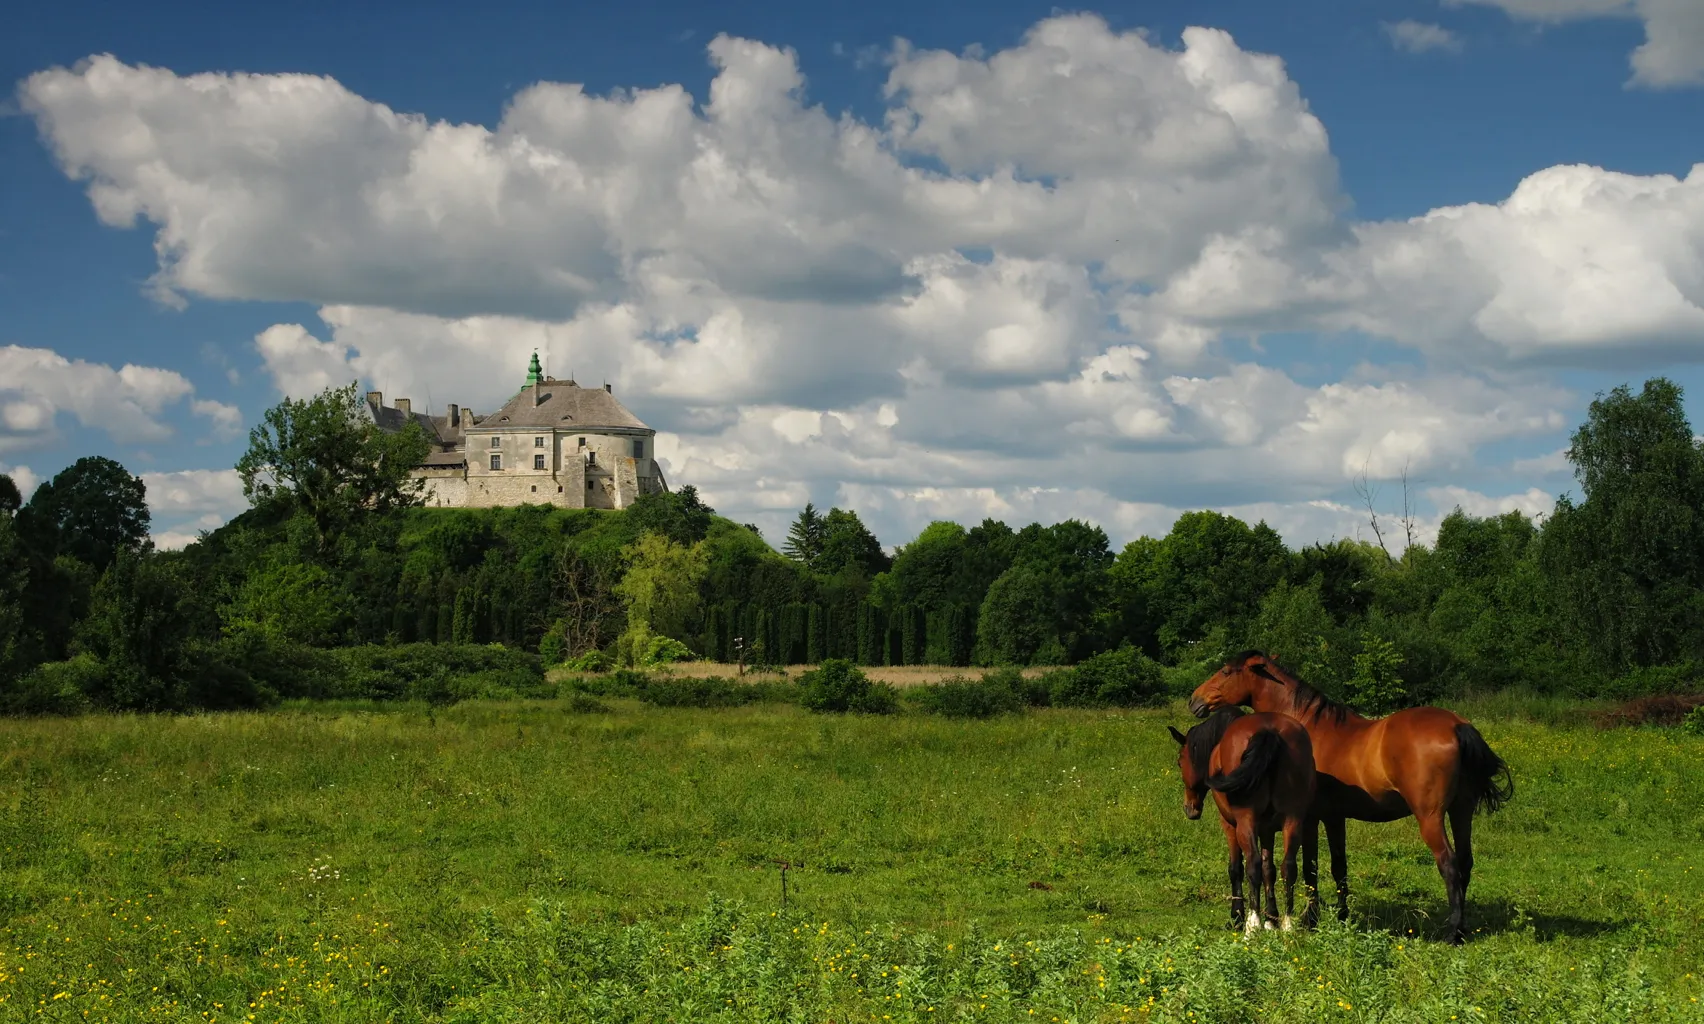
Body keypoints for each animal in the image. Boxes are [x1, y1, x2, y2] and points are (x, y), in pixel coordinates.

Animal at [1172, 701, 1315, 933]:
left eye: (1179, 761)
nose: (1190, 808)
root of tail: (1268, 731)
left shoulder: (1230, 825)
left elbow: (1236, 868)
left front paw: (1238, 915)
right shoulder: (1267, 830)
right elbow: (1269, 869)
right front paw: (1271, 919)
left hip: (1245, 823)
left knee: (1252, 865)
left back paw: (1252, 924)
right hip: (1292, 821)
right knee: (1288, 866)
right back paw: (1287, 923)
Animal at [1192, 650, 1513, 940]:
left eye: (1226, 671)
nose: (1195, 700)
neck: (1310, 728)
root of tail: (1457, 726)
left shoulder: (1309, 819)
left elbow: (1309, 868)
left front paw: (1310, 920)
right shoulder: (1335, 817)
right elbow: (1339, 867)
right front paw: (1341, 917)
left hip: (1431, 818)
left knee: (1449, 864)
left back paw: (1451, 933)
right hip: (1461, 811)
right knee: (1465, 862)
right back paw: (1463, 928)